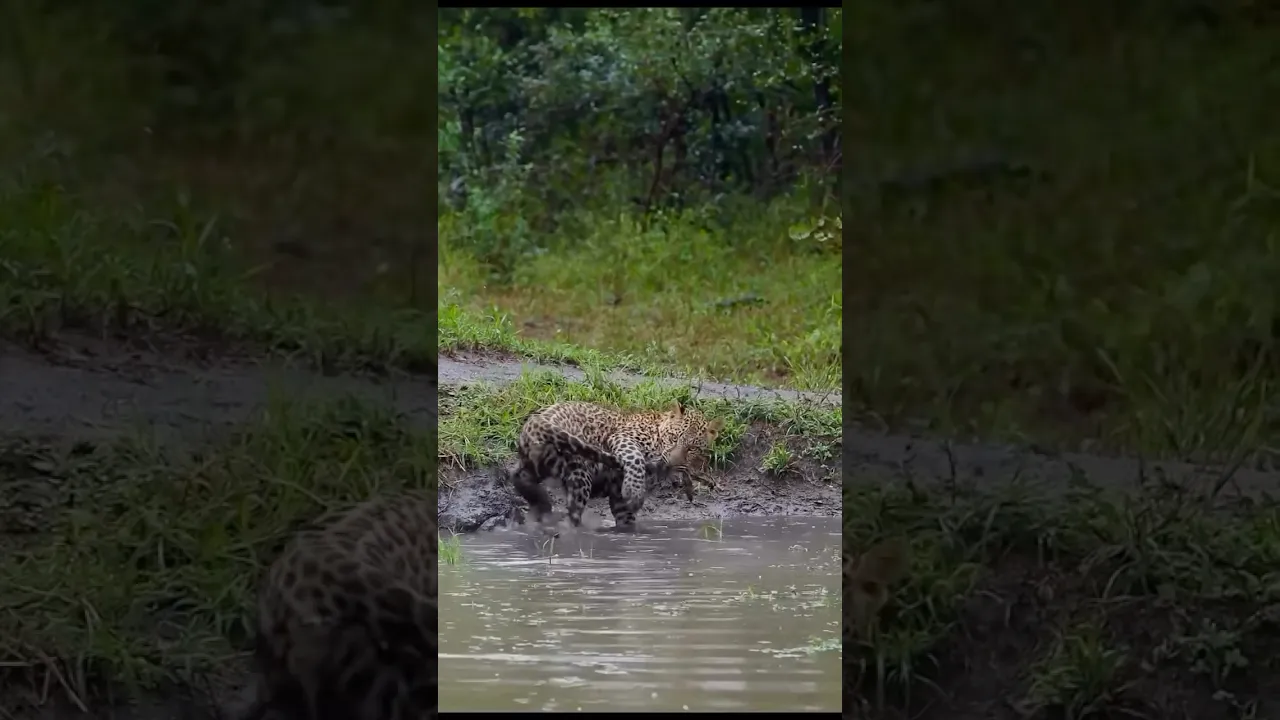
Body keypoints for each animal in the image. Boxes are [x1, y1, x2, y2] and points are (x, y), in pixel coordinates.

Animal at [510, 399, 722, 531]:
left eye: (692, 449)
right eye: (673, 438)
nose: (672, 462)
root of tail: (537, 421)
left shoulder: (619, 499)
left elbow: (626, 521)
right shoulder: (623, 437)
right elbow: (635, 458)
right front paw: (635, 492)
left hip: (533, 465)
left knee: (520, 479)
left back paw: (539, 505)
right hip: (579, 473)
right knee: (572, 517)